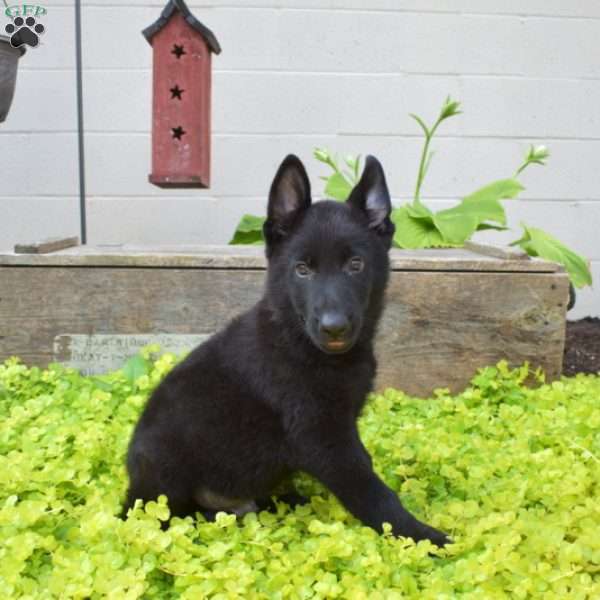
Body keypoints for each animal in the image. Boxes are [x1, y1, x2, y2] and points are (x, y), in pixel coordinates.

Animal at [123, 156, 450, 548]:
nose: (334, 327)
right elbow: (373, 491)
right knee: (167, 515)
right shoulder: (322, 437)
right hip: (163, 462)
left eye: (355, 265)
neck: (304, 346)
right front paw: (420, 536)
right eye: (302, 269)